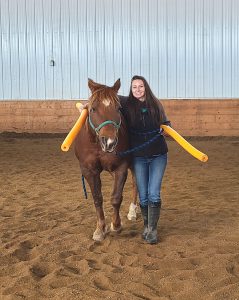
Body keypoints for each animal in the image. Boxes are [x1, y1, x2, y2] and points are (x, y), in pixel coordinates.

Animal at [74, 78, 133, 241]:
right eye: (93, 109)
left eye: (118, 108)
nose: (110, 142)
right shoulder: (89, 170)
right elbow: (97, 198)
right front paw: (100, 228)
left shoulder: (121, 167)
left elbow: (116, 198)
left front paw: (116, 225)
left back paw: (133, 211)